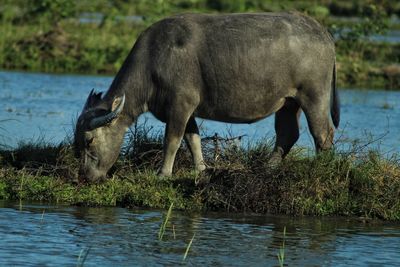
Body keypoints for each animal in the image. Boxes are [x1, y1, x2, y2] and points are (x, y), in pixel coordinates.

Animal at [73, 11, 340, 182]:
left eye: (89, 141)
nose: (86, 176)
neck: (152, 64)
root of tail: (321, 31)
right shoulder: (185, 109)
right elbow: (193, 139)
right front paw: (201, 169)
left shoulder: (181, 104)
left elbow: (172, 140)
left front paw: (162, 173)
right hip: (288, 102)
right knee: (288, 133)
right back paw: (268, 167)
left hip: (314, 94)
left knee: (323, 133)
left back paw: (322, 167)